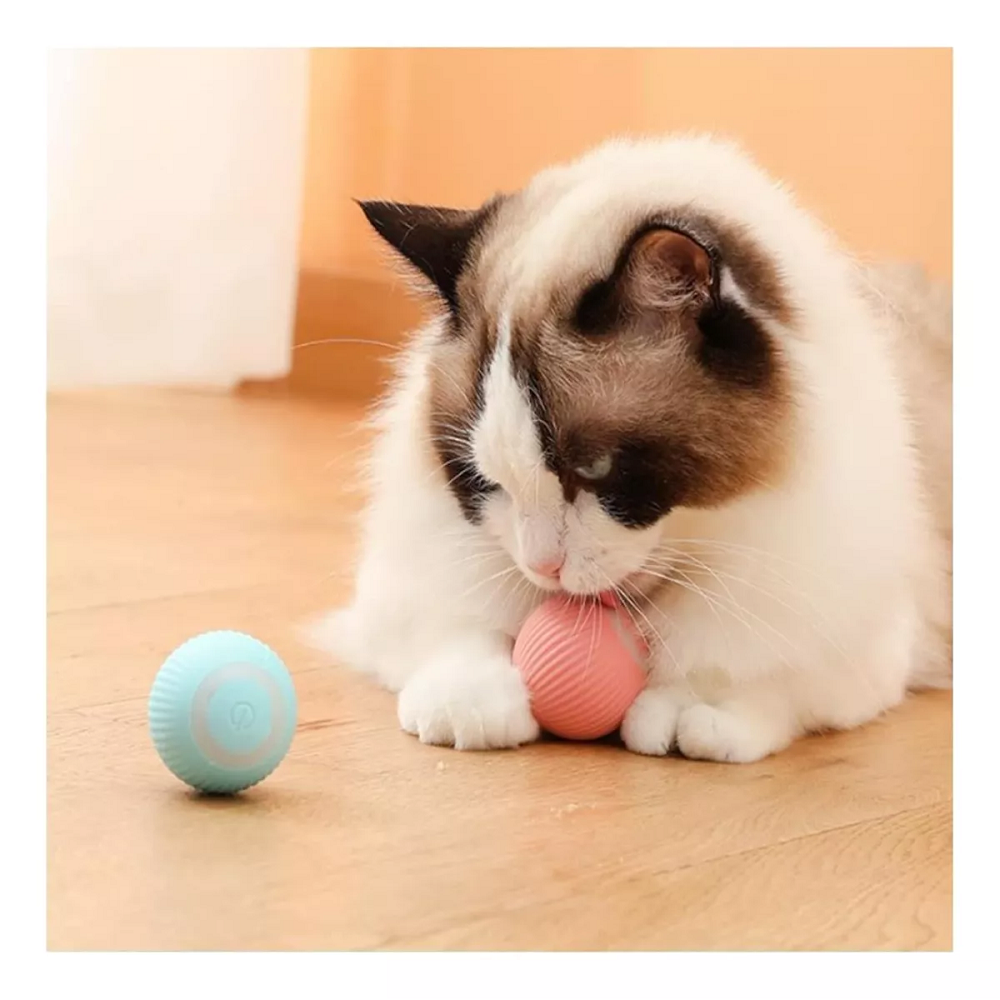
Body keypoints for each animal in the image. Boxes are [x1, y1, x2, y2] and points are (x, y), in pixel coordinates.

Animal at [306, 131, 952, 756]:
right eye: (484, 480)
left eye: (596, 470)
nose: (543, 567)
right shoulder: (410, 592)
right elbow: (460, 634)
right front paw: (469, 707)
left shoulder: (852, 636)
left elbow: (748, 672)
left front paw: (689, 713)